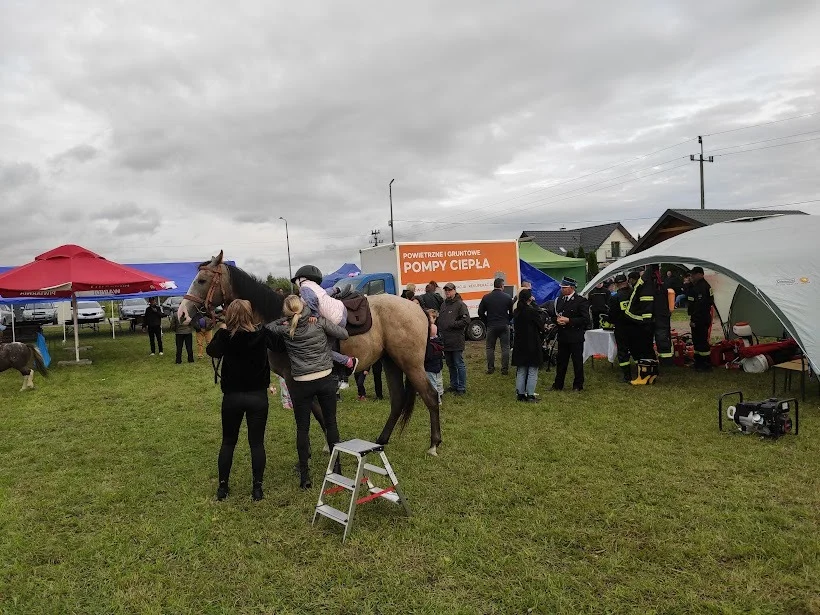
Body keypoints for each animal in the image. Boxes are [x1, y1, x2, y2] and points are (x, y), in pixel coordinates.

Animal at [179, 251, 446, 458]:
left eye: (202, 280)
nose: (181, 313)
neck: (280, 317)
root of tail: (417, 307)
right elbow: (318, 411)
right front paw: (330, 443)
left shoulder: (293, 377)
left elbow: (310, 412)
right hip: (391, 362)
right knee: (398, 400)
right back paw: (382, 440)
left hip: (410, 364)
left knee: (431, 396)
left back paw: (433, 445)